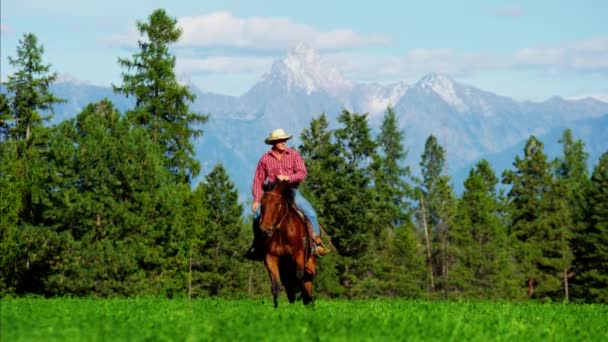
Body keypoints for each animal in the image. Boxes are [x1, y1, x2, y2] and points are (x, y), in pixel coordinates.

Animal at [258, 179, 316, 308]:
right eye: (262, 204)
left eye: (278, 204)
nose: (265, 230)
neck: (282, 235)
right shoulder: (270, 257)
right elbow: (275, 286)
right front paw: (276, 308)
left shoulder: (299, 254)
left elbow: (300, 277)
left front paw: (305, 299)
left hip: (310, 265)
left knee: (307, 283)